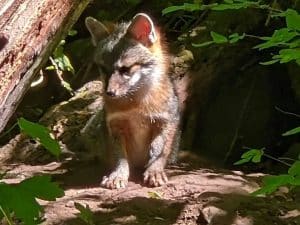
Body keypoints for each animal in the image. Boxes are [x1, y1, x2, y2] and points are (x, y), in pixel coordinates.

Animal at [85, 13, 183, 189]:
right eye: (103, 69)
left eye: (125, 69)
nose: (109, 93)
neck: (135, 106)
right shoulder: (115, 125)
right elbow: (120, 157)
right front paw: (118, 175)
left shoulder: (165, 120)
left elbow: (159, 151)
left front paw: (154, 171)